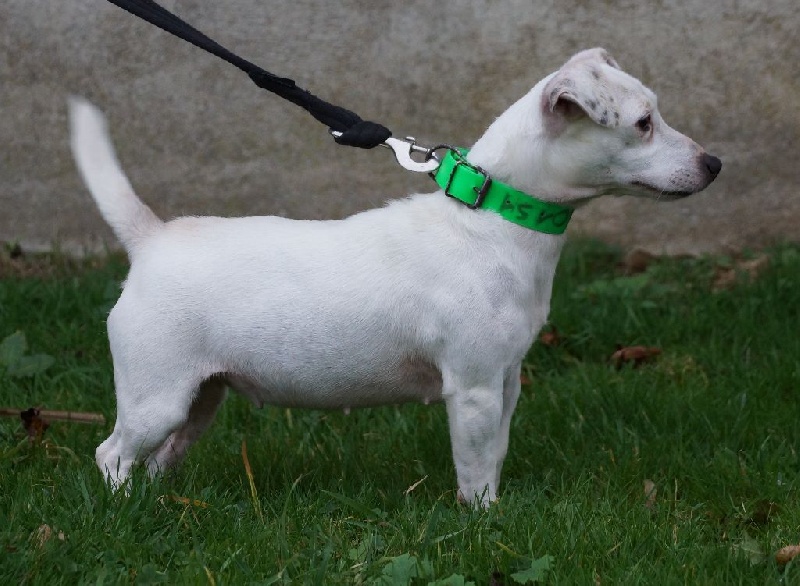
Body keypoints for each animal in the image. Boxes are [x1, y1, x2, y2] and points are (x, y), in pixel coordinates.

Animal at [69, 49, 720, 506]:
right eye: (643, 123)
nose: (714, 164)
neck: (491, 221)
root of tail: (151, 240)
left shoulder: (505, 381)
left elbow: (497, 453)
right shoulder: (473, 387)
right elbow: (476, 467)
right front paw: (483, 521)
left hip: (200, 398)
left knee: (156, 459)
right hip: (157, 393)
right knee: (112, 454)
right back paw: (126, 511)